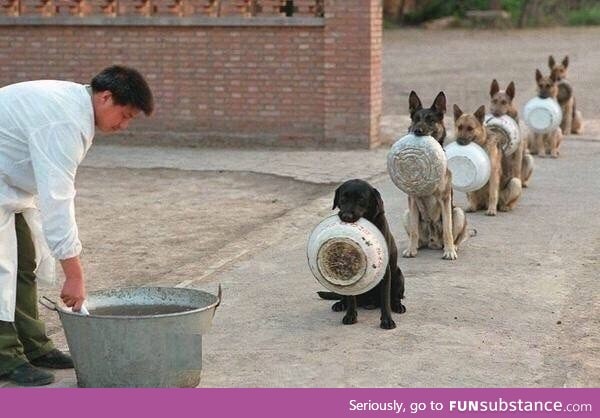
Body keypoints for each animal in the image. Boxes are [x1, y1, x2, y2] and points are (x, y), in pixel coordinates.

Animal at [316, 178, 406, 328]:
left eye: (361, 199)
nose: (346, 216)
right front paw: (350, 316)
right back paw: (341, 304)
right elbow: (351, 299)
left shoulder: (385, 271)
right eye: (343, 198)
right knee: (346, 297)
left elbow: (385, 299)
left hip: (398, 276)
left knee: (394, 297)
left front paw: (387, 320)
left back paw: (397, 306)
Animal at [400, 92, 472, 262]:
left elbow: (447, 229)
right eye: (416, 119)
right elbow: (414, 230)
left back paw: (452, 247)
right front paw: (411, 249)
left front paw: (450, 251)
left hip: (458, 213)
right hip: (407, 213)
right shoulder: (412, 200)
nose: (417, 131)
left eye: (430, 120)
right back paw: (417, 246)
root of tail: (432, 242)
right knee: (417, 235)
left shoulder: (445, 199)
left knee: (454, 235)